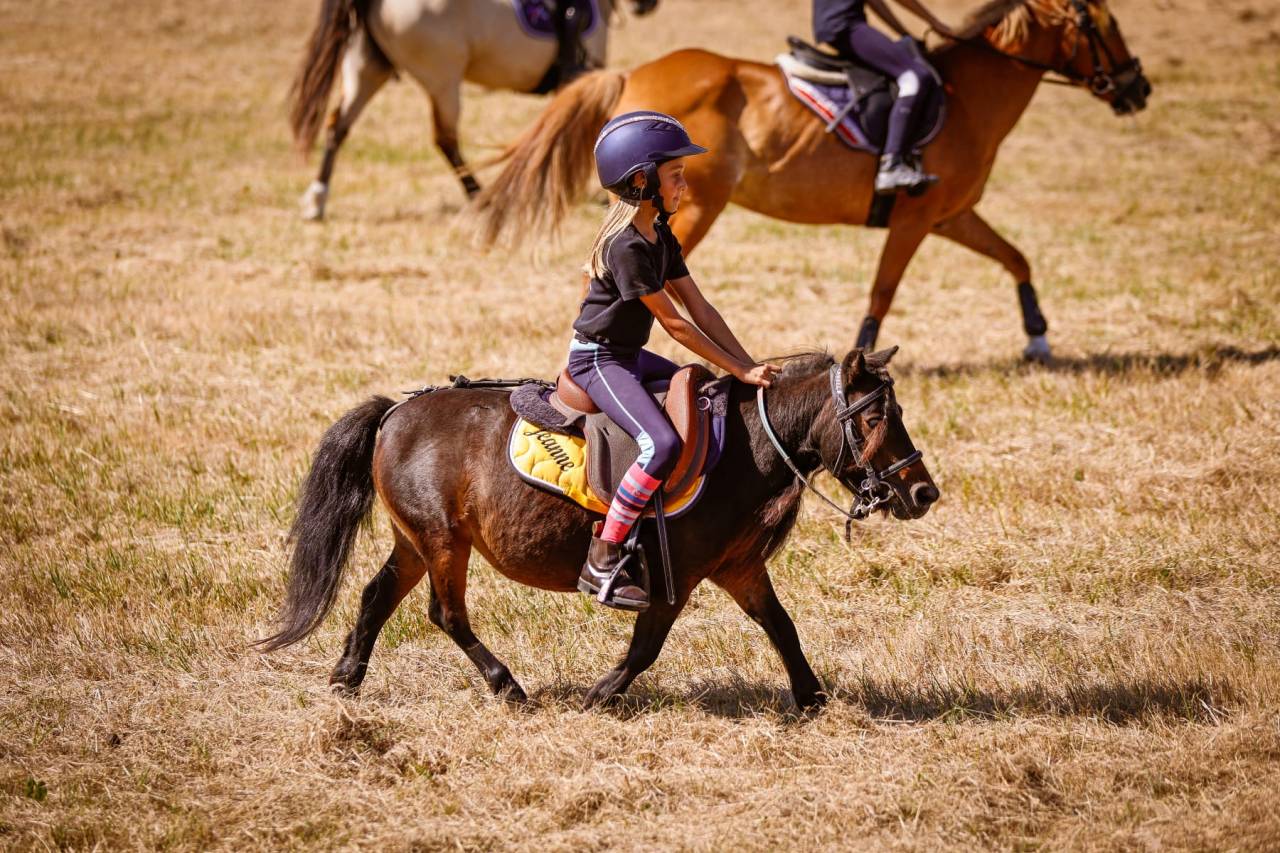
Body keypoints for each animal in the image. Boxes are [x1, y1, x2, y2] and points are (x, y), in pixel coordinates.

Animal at [258, 348, 938, 711]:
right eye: (874, 417)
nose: (923, 492)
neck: (739, 448)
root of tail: (395, 412)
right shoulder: (673, 578)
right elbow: (644, 648)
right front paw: (600, 695)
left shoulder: (739, 569)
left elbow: (783, 629)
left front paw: (813, 698)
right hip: (443, 542)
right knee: (446, 615)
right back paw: (506, 686)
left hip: (416, 540)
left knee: (376, 596)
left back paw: (347, 676)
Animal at [290, 0, 659, 221]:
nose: (647, 5)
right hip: (442, 79)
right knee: (446, 140)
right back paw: (479, 196)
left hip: (366, 68)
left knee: (337, 127)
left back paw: (317, 198)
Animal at [472, 0, 1152, 362]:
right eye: (1102, 24)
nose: (1138, 87)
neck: (964, 99)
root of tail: (633, 72)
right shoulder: (914, 218)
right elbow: (883, 291)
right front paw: (863, 357)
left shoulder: (951, 215)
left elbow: (1016, 257)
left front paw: (1038, 338)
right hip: (697, 209)